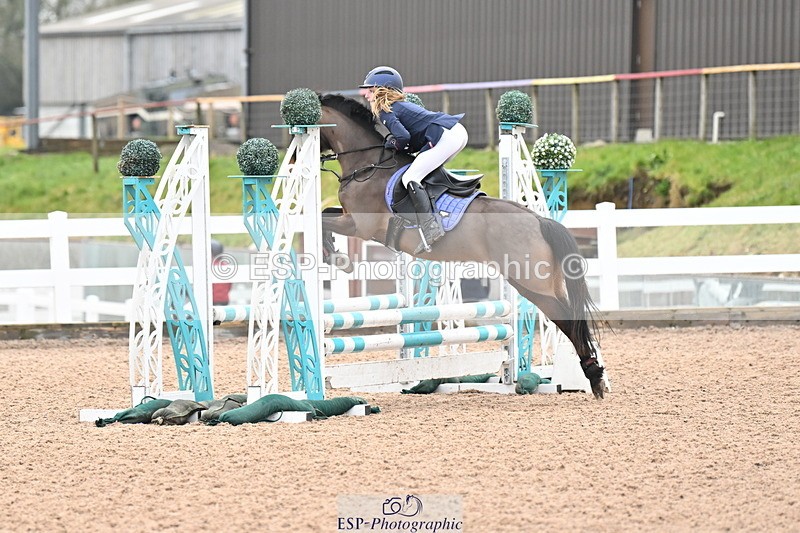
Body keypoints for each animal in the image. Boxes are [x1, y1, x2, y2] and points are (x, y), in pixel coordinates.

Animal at [317, 93, 606, 398]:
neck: (368, 164)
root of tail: (538, 220)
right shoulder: (349, 218)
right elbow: (325, 214)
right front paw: (335, 255)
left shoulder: (359, 225)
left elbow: (322, 219)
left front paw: (338, 259)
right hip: (542, 283)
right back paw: (594, 375)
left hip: (530, 282)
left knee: (568, 319)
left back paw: (594, 376)